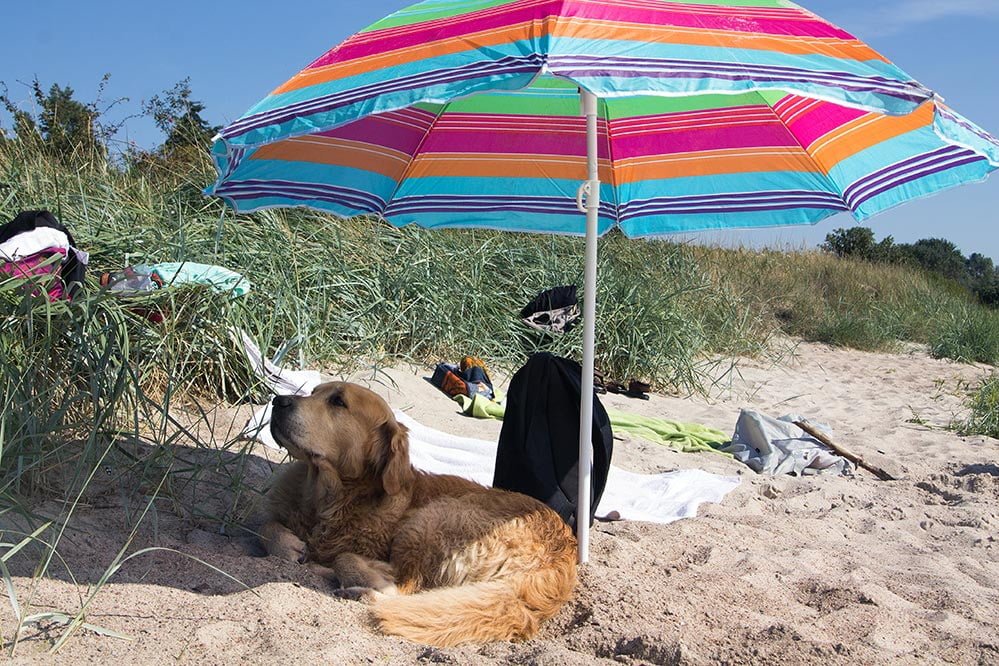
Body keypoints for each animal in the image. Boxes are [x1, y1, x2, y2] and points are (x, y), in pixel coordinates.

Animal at [262, 382, 580, 644]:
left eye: (338, 401)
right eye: (313, 391)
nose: (279, 400)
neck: (328, 497)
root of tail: (561, 556)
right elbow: (266, 525)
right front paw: (288, 545)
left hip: (431, 519)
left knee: (401, 585)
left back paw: (360, 587)